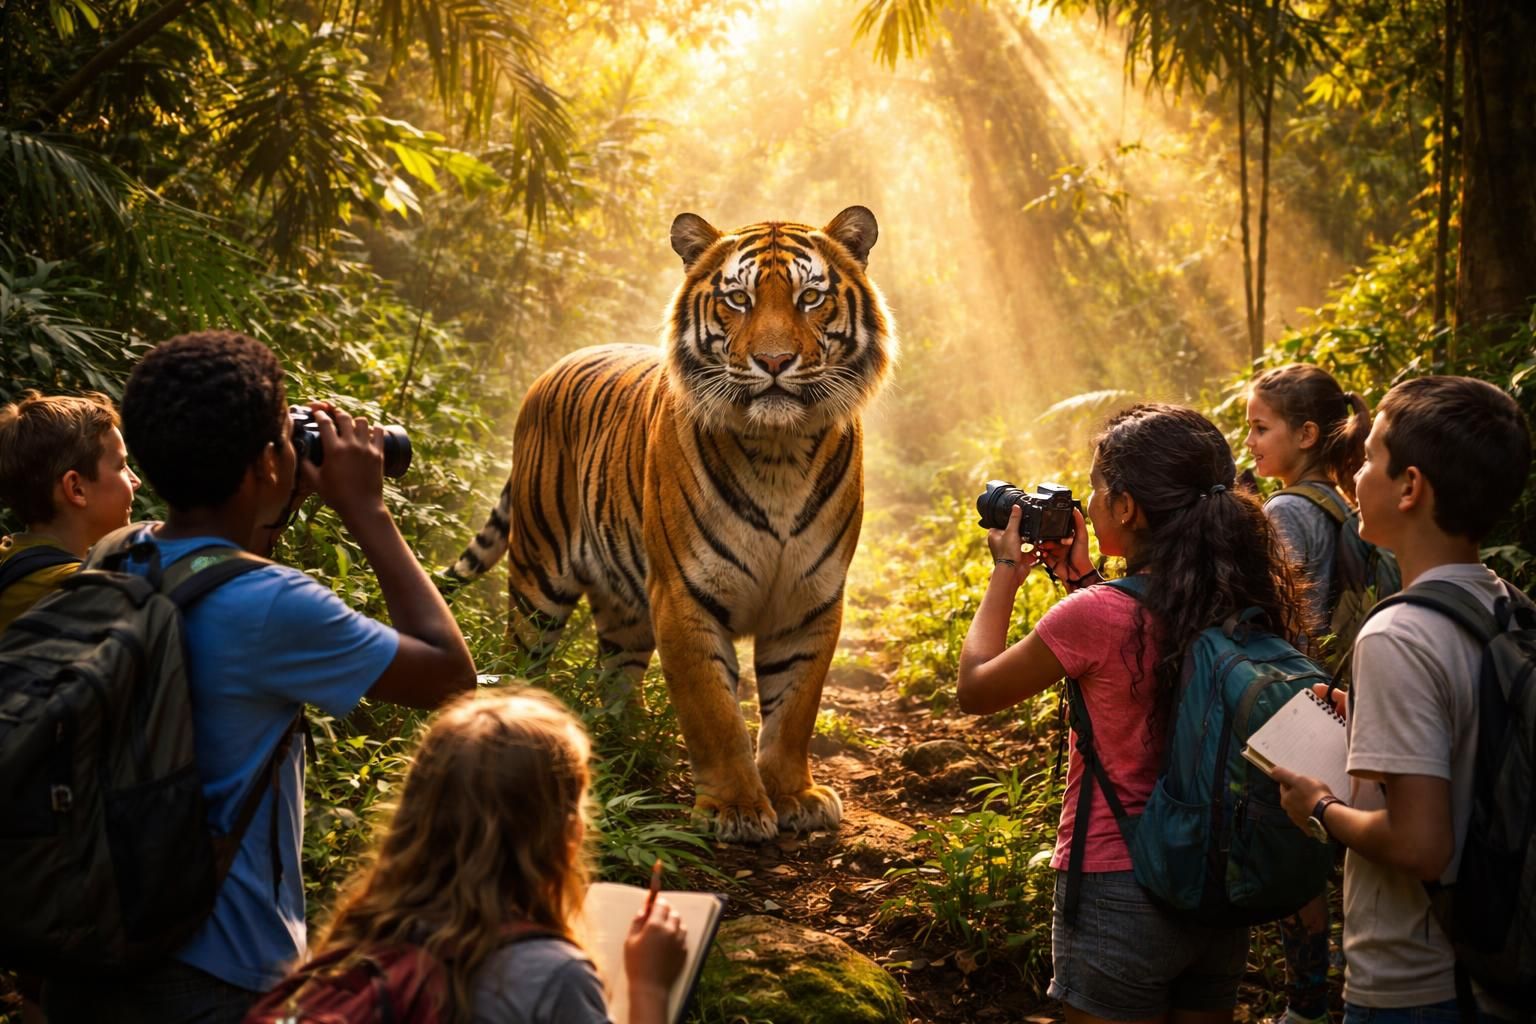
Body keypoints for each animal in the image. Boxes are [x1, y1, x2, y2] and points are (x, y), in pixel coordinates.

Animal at [449, 206, 895, 843]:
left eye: (810, 297)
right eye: (738, 299)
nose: (774, 362)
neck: (780, 454)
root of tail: (550, 369)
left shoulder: (810, 602)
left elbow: (794, 709)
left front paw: (794, 796)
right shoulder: (684, 595)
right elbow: (713, 711)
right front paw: (735, 808)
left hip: (624, 604)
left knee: (615, 670)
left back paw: (628, 742)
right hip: (538, 579)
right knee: (522, 655)